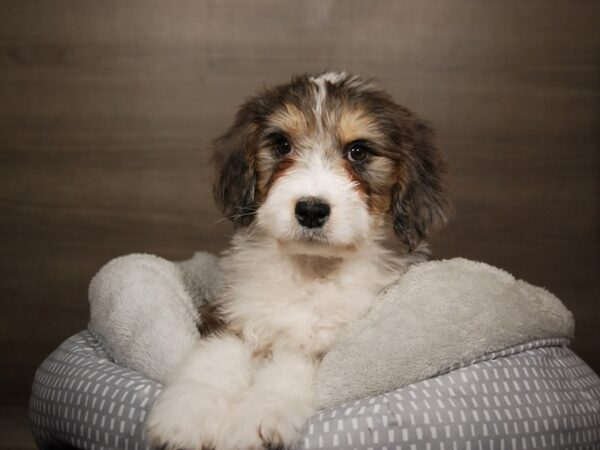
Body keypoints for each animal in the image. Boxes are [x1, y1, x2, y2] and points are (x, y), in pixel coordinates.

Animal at [145, 71, 450, 450]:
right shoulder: (232, 310)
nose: (311, 210)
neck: (310, 270)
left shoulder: (328, 342)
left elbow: (288, 369)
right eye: (282, 145)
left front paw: (255, 420)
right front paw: (188, 415)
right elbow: (215, 357)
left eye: (359, 151)